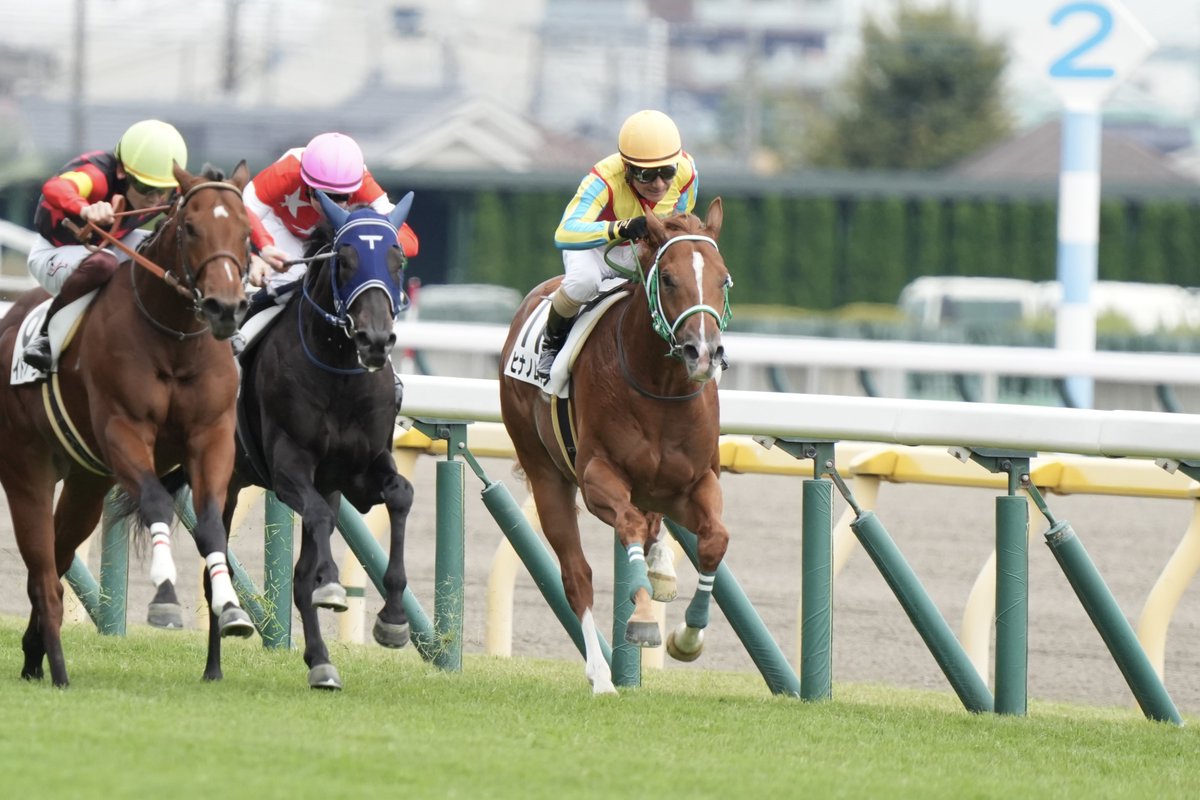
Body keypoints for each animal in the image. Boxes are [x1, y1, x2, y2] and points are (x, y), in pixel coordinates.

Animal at [0, 162, 255, 687]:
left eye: (245, 232)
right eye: (190, 227)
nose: (224, 308)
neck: (174, 338)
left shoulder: (212, 436)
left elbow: (210, 526)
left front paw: (231, 607)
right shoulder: (124, 430)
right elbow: (156, 500)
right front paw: (164, 598)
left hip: (85, 482)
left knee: (57, 561)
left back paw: (34, 654)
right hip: (25, 469)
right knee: (43, 573)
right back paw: (58, 670)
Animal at [213, 191, 416, 690]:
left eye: (397, 259)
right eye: (344, 260)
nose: (375, 339)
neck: (338, 373)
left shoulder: (362, 471)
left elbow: (401, 495)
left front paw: (393, 620)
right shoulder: (289, 469)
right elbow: (321, 522)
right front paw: (332, 584)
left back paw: (320, 661)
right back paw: (220, 645)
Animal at [499, 198, 732, 695]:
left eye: (723, 279)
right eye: (669, 278)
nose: (703, 353)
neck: (659, 387)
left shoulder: (696, 482)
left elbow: (714, 540)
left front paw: (687, 636)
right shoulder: (596, 477)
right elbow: (627, 527)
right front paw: (642, 619)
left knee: (652, 526)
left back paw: (661, 569)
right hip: (545, 472)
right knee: (577, 574)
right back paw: (602, 676)